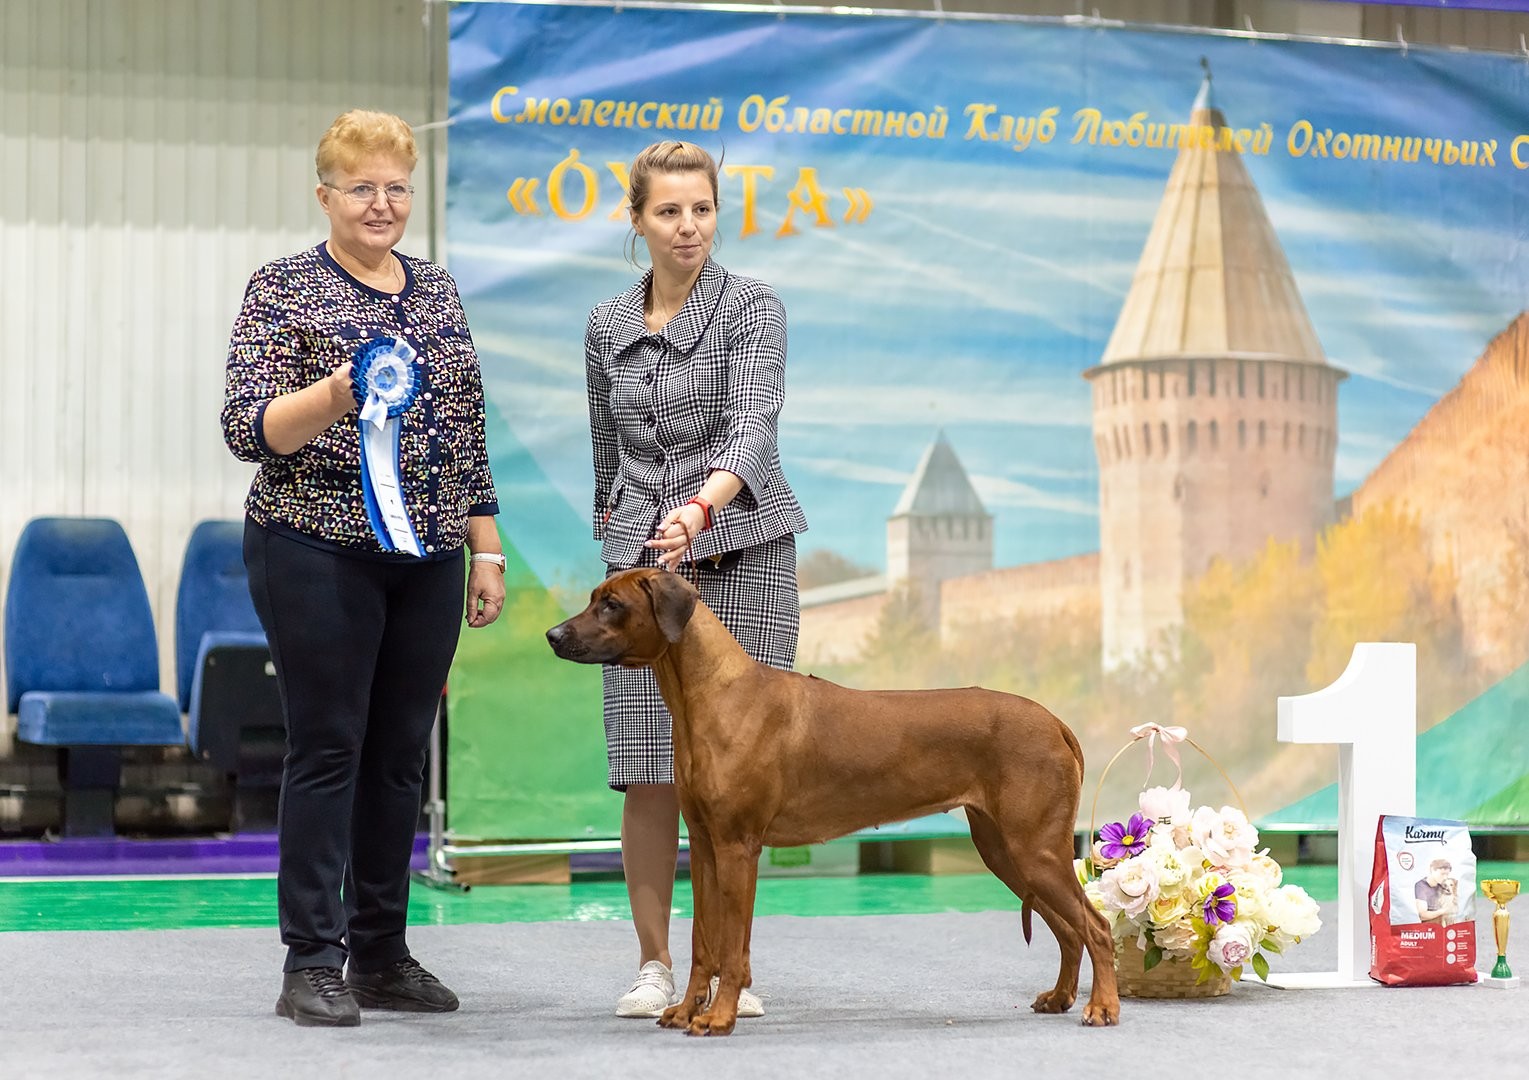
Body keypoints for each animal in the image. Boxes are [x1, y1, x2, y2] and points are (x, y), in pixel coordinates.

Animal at [544, 569, 1119, 1027]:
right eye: (595, 597)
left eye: (612, 604)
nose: (553, 635)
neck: (711, 695)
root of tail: (1055, 720)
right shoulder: (705, 847)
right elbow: (702, 945)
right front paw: (687, 1011)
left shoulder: (737, 847)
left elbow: (732, 950)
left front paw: (720, 1018)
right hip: (1004, 849)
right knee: (1069, 929)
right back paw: (1062, 997)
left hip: (1034, 848)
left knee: (1096, 926)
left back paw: (1102, 1007)